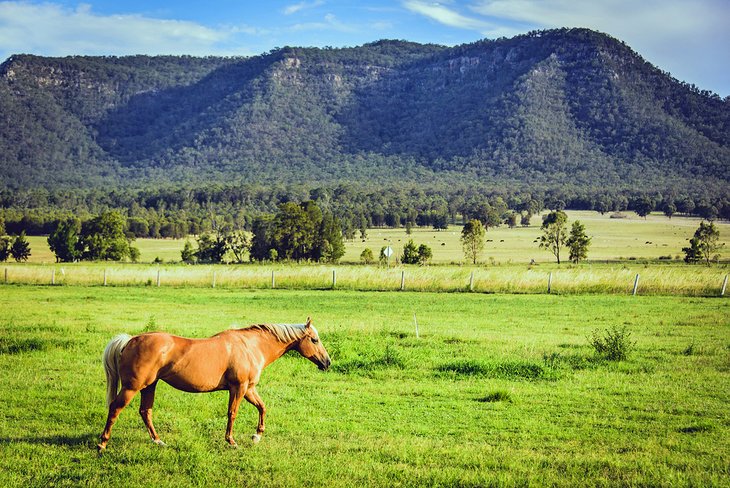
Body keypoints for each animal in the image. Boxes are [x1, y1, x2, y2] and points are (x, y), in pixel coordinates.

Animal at [95, 316, 328, 450]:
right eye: (314, 340)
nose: (327, 362)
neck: (250, 346)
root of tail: (131, 340)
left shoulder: (249, 389)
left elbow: (262, 407)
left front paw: (256, 436)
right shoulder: (238, 388)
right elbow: (232, 413)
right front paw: (231, 441)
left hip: (149, 386)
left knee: (146, 411)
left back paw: (158, 440)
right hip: (132, 388)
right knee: (115, 408)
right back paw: (102, 444)